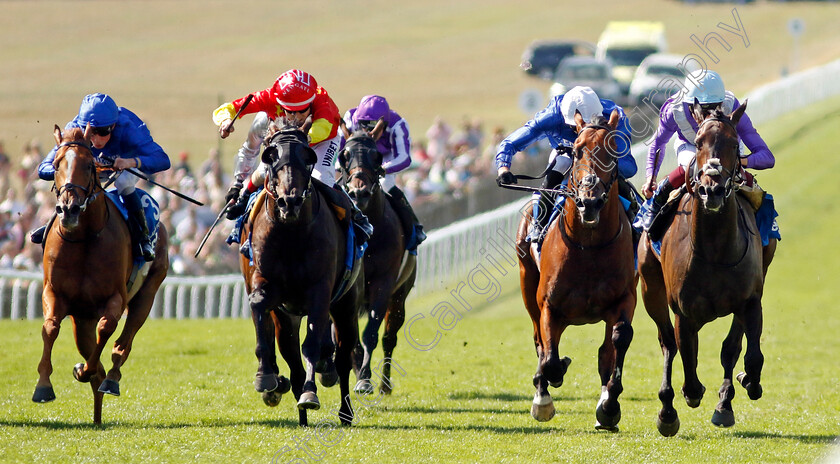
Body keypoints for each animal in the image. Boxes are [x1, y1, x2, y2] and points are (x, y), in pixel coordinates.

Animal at [33, 126, 168, 424]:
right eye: (56, 164)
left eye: (88, 165)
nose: (69, 208)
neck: (83, 237)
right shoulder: (54, 293)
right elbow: (50, 328)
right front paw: (44, 386)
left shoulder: (115, 297)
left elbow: (106, 329)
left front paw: (87, 371)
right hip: (82, 319)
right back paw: (96, 409)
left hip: (147, 292)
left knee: (124, 341)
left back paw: (111, 379)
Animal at [240, 127, 364, 428]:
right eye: (270, 157)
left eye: (308, 157)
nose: (290, 200)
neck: (291, 232)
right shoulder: (268, 286)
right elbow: (259, 304)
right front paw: (266, 376)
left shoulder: (319, 291)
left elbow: (313, 344)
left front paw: (310, 394)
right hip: (288, 316)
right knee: (292, 356)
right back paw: (300, 412)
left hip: (346, 305)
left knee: (344, 356)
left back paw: (344, 411)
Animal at [334, 120, 414, 396]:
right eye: (344, 155)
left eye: (377, 156)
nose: (359, 193)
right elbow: (348, 336)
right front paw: (359, 374)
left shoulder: (384, 282)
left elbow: (371, 333)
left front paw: (365, 379)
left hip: (400, 295)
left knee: (390, 337)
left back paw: (385, 385)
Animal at [512, 109, 636, 432]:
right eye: (577, 150)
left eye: (613, 150)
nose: (589, 201)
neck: (588, 247)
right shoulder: (548, 305)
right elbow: (549, 357)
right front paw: (545, 395)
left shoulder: (625, 299)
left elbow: (618, 341)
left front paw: (609, 406)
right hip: (527, 284)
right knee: (540, 342)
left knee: (605, 351)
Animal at [636, 100, 768, 436]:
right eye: (698, 143)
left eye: (734, 143)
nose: (712, 190)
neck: (716, 250)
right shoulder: (684, 312)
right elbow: (689, 369)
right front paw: (682, 401)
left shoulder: (750, 301)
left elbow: (750, 356)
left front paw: (743, 384)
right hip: (650, 290)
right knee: (667, 344)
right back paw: (667, 410)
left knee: (731, 348)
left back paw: (725, 403)